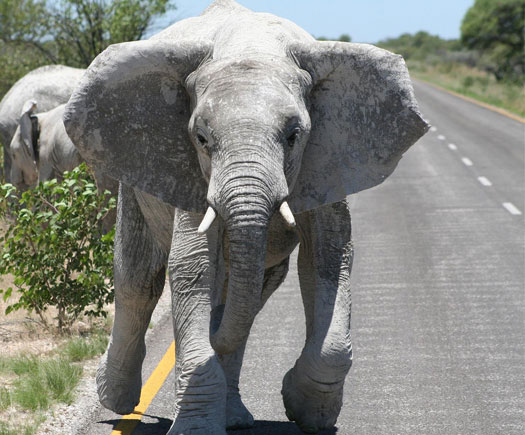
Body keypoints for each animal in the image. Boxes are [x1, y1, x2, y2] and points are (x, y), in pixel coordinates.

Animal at [63, 1, 428, 434]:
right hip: (133, 178)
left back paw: (235, 416)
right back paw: (117, 398)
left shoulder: (328, 158)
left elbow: (329, 258)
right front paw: (195, 429)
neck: (251, 44)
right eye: (201, 138)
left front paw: (308, 412)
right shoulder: (187, 168)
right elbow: (193, 266)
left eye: (294, 136)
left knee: (251, 296)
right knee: (138, 280)